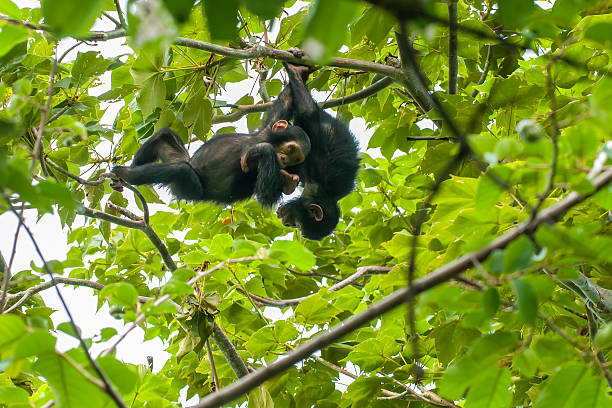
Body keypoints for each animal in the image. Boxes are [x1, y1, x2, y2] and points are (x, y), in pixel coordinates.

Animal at [111, 86, 310, 209]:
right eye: (291, 150)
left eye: (295, 159)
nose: (284, 160)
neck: (261, 138)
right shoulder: (270, 126)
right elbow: (283, 104)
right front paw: (299, 67)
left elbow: (266, 194)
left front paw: (264, 150)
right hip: (180, 156)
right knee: (164, 135)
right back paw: (125, 177)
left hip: (189, 189)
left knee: (179, 170)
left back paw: (126, 174)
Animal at [276, 62, 358, 241]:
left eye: (297, 226)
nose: (286, 223)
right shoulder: (322, 169)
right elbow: (308, 113)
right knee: (308, 113)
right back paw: (297, 72)